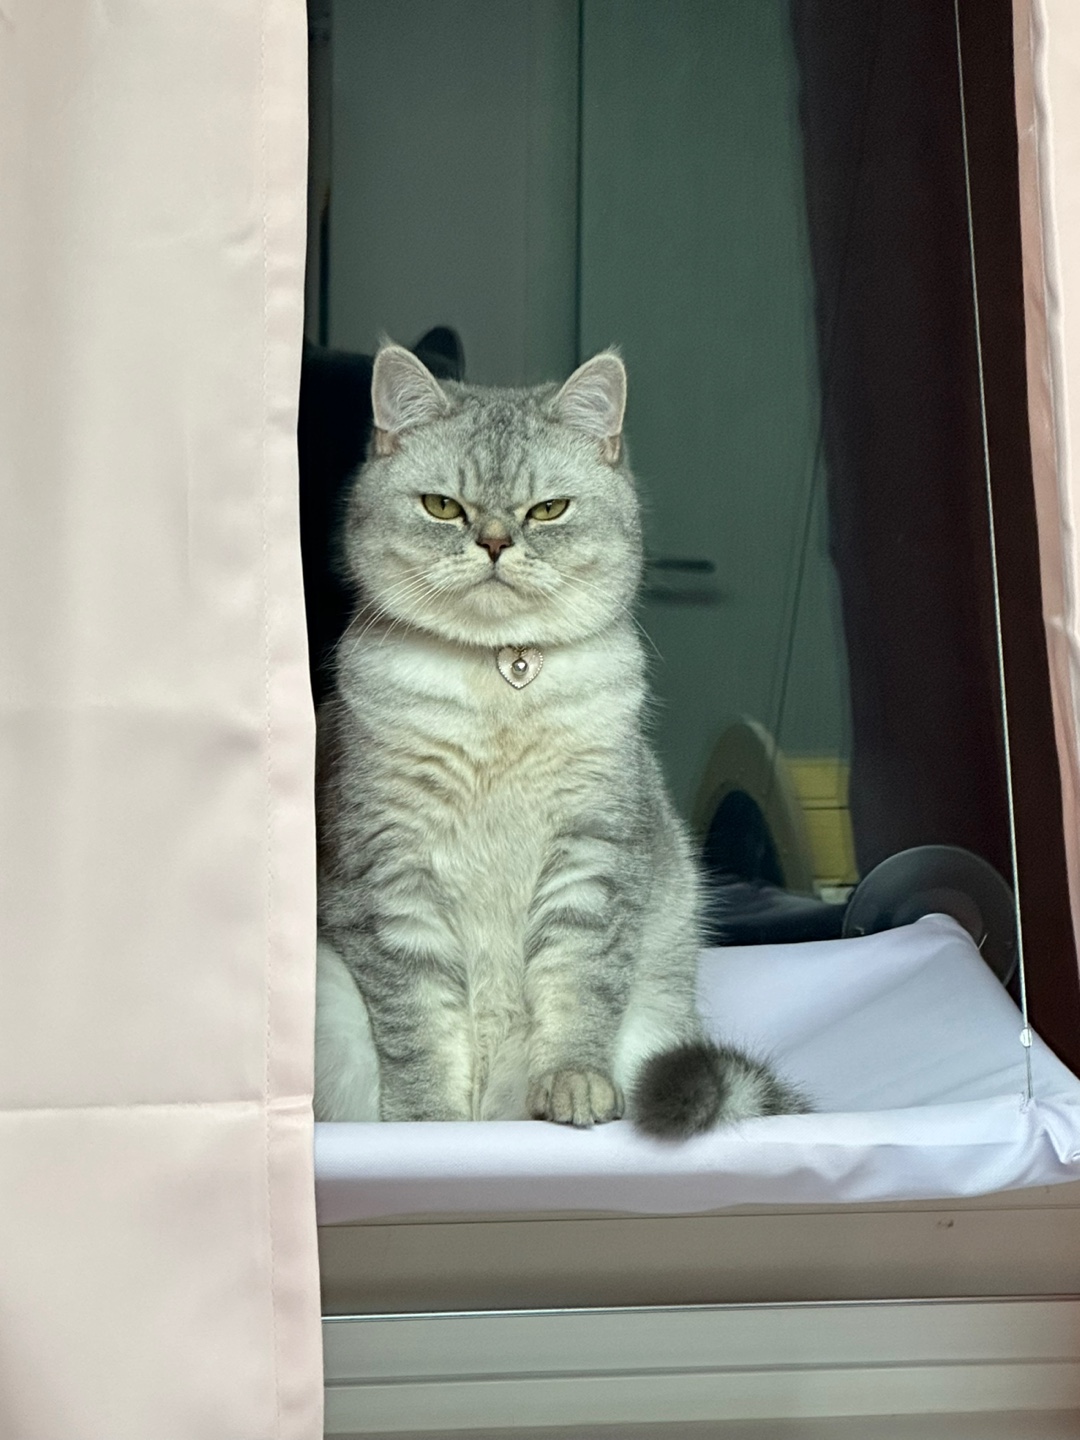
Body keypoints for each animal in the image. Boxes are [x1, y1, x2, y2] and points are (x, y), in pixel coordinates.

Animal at [314, 343, 807, 1137]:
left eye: (548, 510)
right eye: (442, 506)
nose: (492, 543)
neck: (500, 680)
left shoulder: (592, 854)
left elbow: (578, 990)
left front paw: (574, 1088)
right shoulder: (390, 874)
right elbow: (420, 1027)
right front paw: (428, 1126)